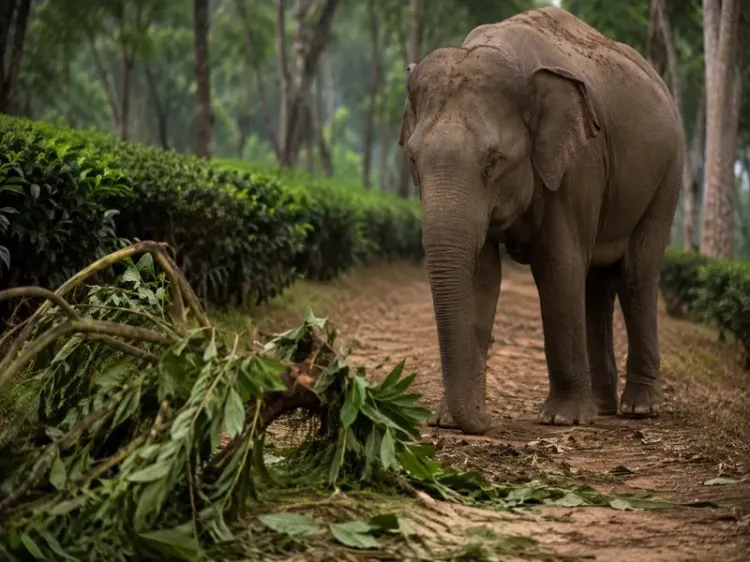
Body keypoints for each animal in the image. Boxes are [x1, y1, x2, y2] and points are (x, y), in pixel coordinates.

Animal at [398, 6, 683, 435]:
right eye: (413, 159)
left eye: (493, 161)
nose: (486, 420)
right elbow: (481, 275)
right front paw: (448, 418)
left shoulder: (578, 164)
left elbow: (558, 266)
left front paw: (562, 418)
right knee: (596, 281)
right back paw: (602, 406)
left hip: (668, 174)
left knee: (636, 273)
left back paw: (639, 409)